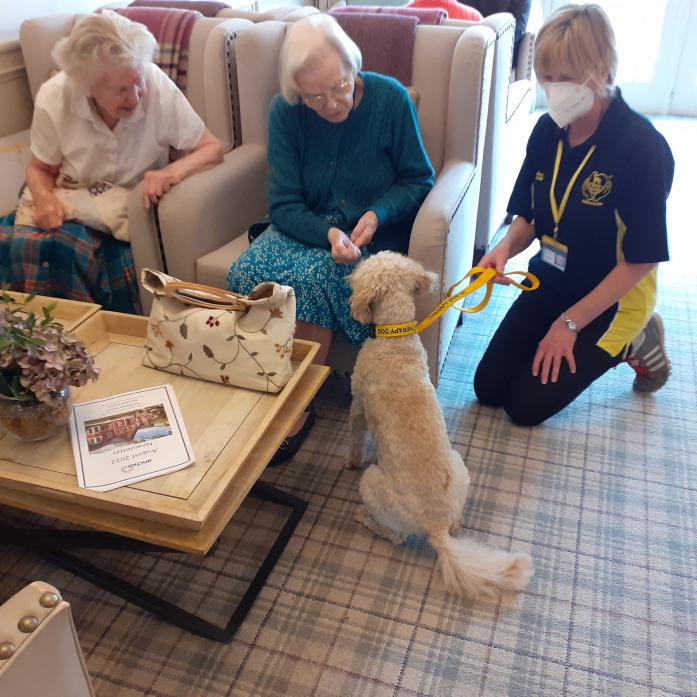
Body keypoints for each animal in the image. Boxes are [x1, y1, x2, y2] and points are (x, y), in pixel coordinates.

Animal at [348, 253, 532, 596]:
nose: (358, 254)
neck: (396, 339)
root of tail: (436, 527)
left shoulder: (357, 403)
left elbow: (354, 437)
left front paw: (351, 460)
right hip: (459, 467)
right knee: (455, 520)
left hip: (372, 485)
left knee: (395, 535)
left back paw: (365, 517)